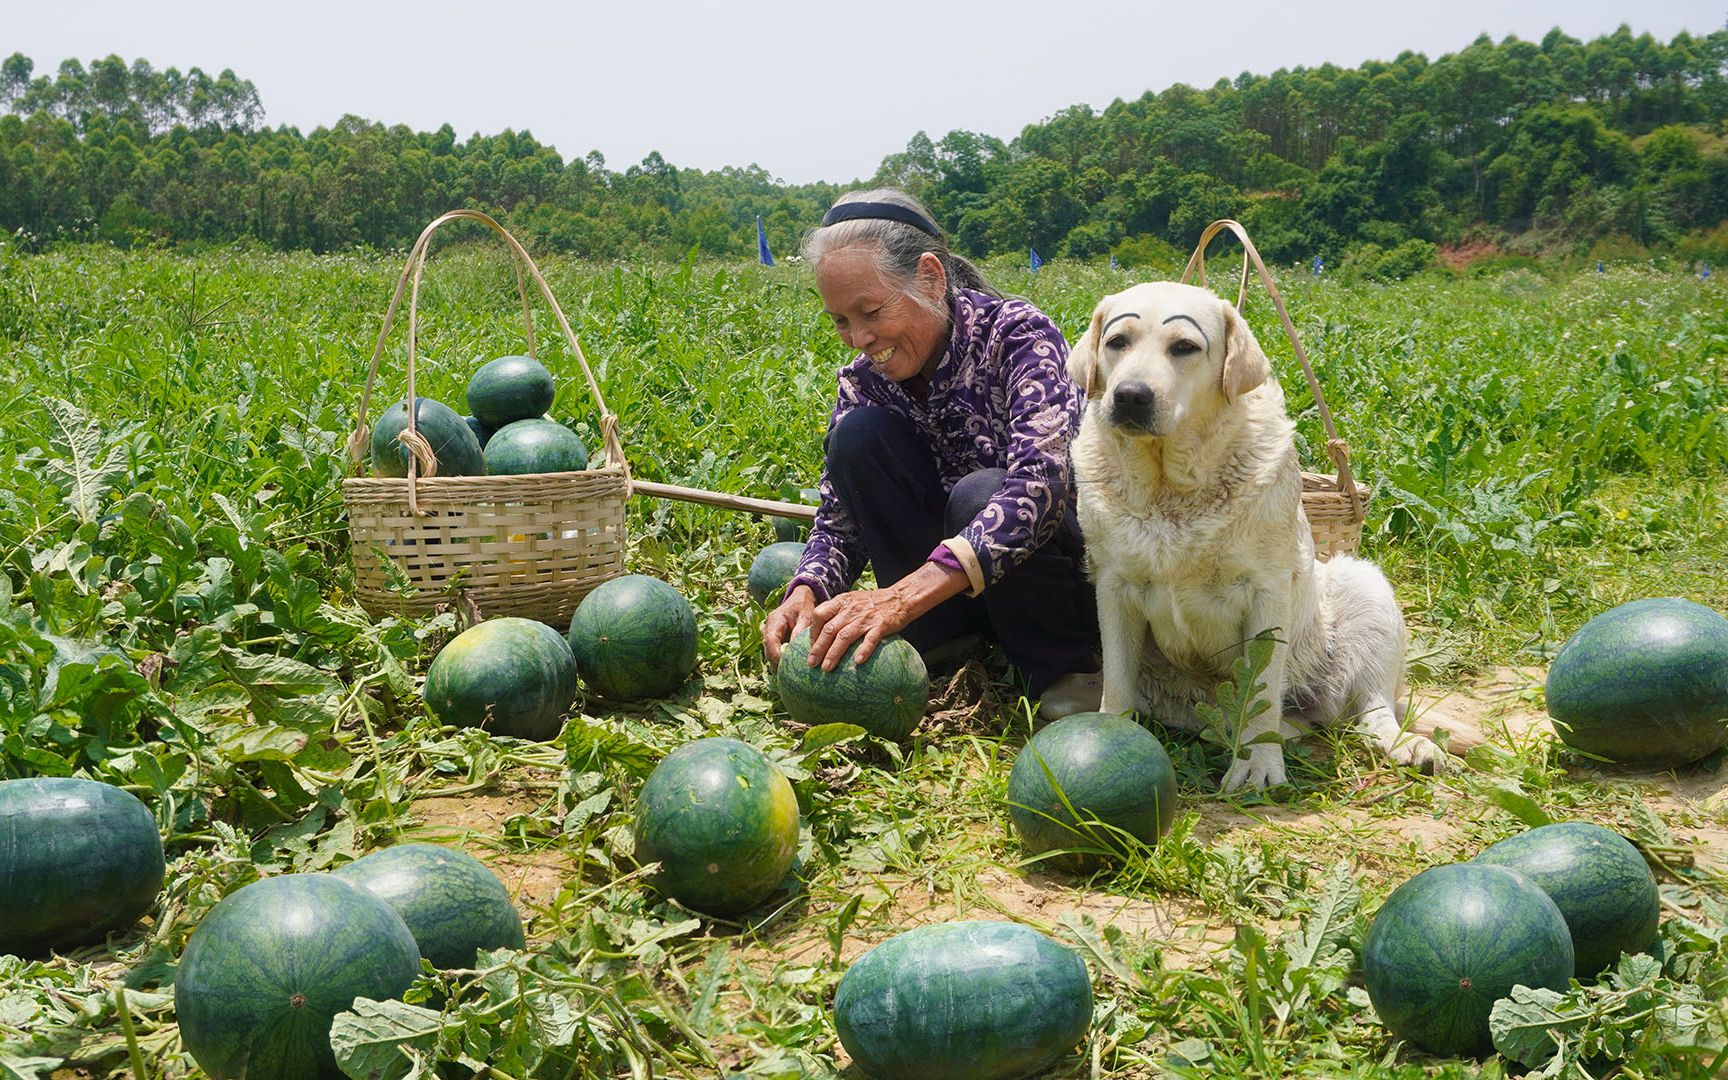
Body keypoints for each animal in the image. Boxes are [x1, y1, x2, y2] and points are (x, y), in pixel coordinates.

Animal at [1064, 281, 1444, 791]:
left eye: (1184, 347)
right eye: (1117, 341)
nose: (1130, 396)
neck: (1171, 488)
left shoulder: (1267, 591)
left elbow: (1261, 690)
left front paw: (1258, 767)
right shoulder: (1113, 588)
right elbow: (1117, 682)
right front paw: (1107, 737)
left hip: (1362, 587)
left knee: (1373, 710)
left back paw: (1409, 745)